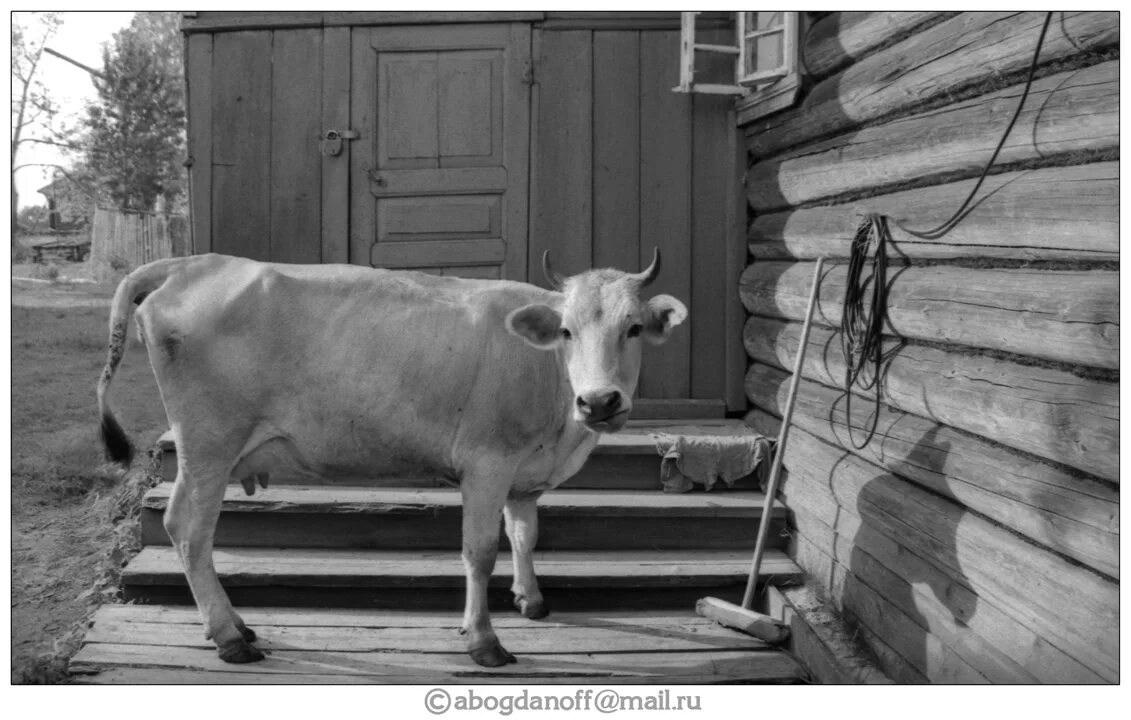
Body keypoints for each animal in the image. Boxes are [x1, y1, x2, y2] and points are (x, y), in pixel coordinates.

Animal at [97, 249, 683, 664]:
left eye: (633, 328)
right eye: (566, 331)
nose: (600, 401)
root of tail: (191, 262)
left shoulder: (525, 473)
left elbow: (524, 535)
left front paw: (530, 599)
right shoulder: (487, 462)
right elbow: (479, 552)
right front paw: (483, 641)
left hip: (203, 451)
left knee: (183, 526)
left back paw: (235, 626)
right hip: (209, 444)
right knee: (190, 531)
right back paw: (229, 637)